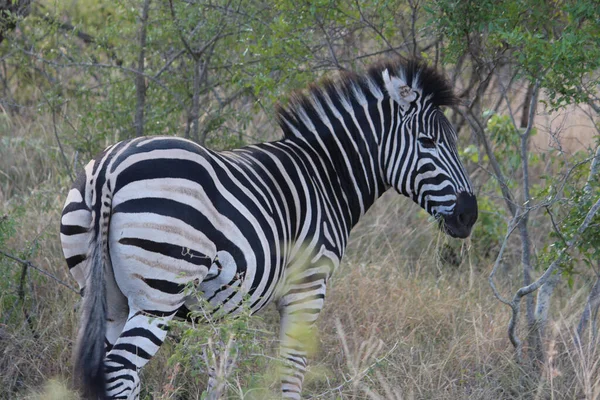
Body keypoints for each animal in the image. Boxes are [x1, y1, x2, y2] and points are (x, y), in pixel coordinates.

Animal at [61, 57, 478, 398]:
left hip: (105, 294)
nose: (469, 216)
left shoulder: (222, 313)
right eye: (427, 141)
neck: (327, 176)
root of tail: (109, 169)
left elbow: (219, 372)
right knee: (121, 371)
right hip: (159, 293)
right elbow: (291, 369)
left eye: (452, 141)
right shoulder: (308, 287)